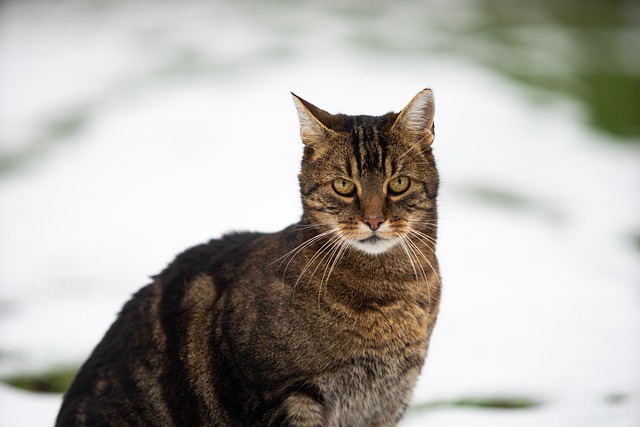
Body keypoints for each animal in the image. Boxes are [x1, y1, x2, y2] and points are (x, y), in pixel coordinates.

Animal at [56, 88, 440, 426]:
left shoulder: (387, 402)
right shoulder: (284, 395)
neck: (390, 293)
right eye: (343, 186)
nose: (374, 220)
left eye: (399, 183)